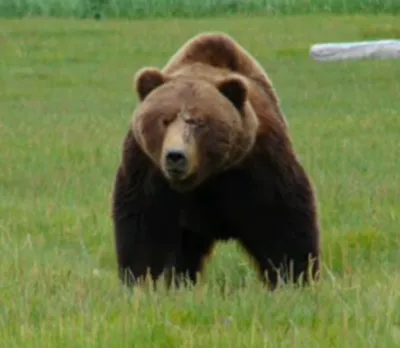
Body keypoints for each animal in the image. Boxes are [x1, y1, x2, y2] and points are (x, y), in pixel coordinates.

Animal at [110, 32, 322, 290]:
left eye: (200, 122)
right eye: (164, 120)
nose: (175, 156)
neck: (207, 177)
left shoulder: (259, 164)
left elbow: (283, 223)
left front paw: (295, 278)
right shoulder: (148, 172)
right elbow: (144, 228)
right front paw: (142, 281)